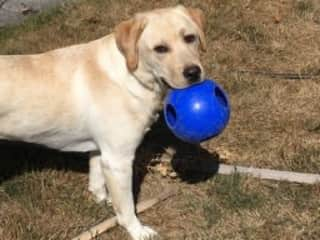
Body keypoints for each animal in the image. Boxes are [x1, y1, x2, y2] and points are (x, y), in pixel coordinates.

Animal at [0, 5, 205, 240]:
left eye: (190, 38)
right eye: (160, 49)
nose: (193, 72)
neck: (129, 74)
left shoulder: (102, 150)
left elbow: (97, 180)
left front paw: (103, 200)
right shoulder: (118, 161)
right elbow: (127, 207)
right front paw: (136, 230)